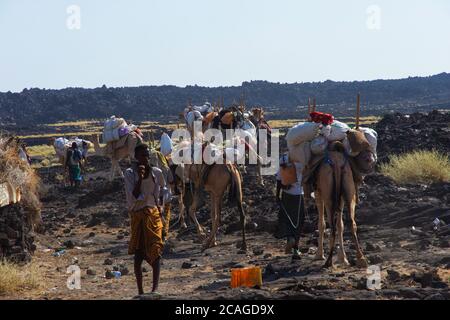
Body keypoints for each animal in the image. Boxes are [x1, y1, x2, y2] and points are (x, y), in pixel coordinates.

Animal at [312, 142, 370, 270]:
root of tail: (337, 164)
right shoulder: (341, 197)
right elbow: (341, 224)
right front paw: (343, 258)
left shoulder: (318, 193)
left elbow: (322, 224)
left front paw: (319, 254)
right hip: (348, 186)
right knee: (352, 223)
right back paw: (361, 259)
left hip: (328, 195)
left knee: (332, 227)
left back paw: (328, 261)